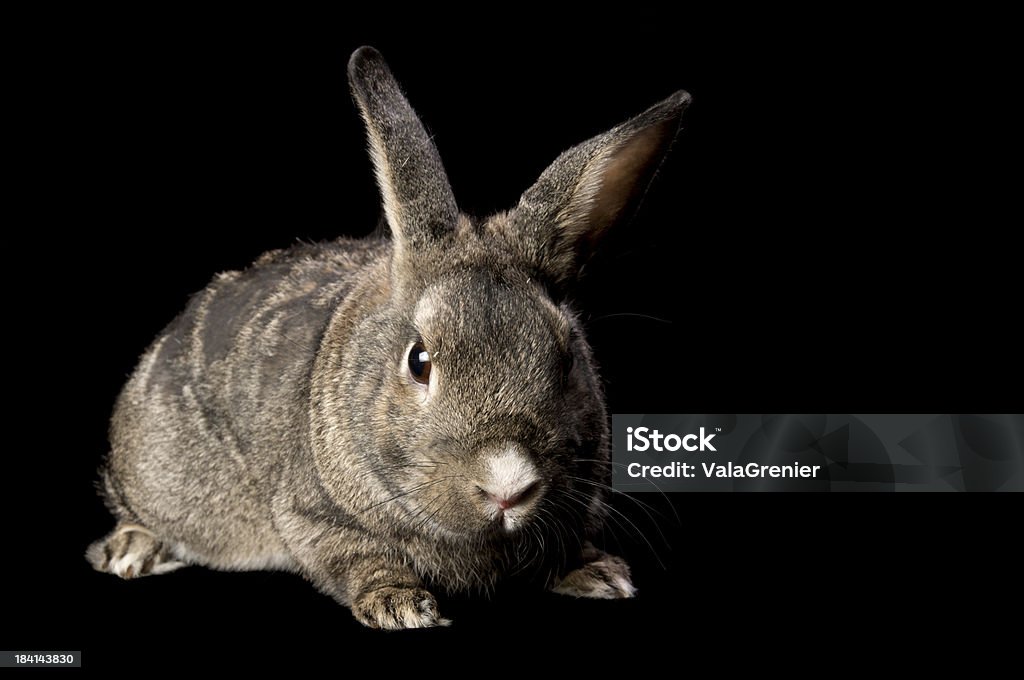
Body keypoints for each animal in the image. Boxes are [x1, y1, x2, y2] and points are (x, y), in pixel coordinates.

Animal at [86, 46, 690, 629]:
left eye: (567, 361)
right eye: (418, 361)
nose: (508, 488)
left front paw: (600, 574)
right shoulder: (311, 518)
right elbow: (356, 558)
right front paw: (399, 606)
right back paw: (131, 552)